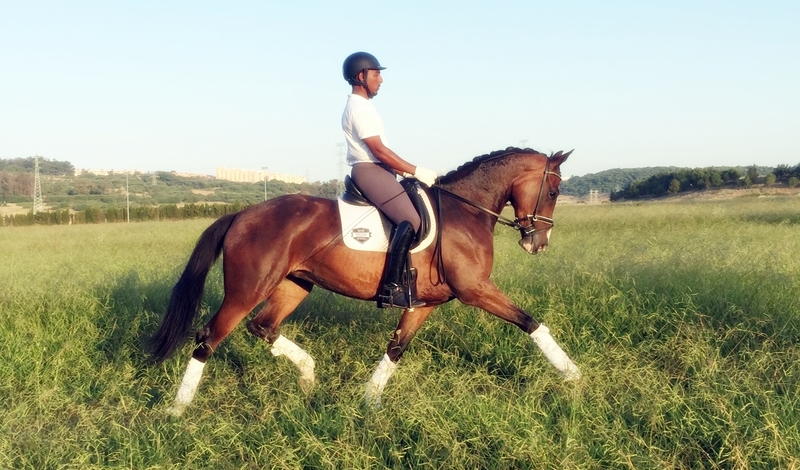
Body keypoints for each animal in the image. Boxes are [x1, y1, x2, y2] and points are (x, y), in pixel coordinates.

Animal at [150, 147, 580, 415]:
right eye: (554, 189)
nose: (538, 243)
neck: (463, 211)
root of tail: (241, 215)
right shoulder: (474, 290)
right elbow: (530, 322)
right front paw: (573, 375)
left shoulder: (425, 303)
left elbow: (396, 348)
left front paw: (368, 400)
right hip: (247, 289)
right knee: (209, 337)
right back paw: (177, 409)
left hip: (293, 284)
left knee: (264, 326)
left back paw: (309, 377)